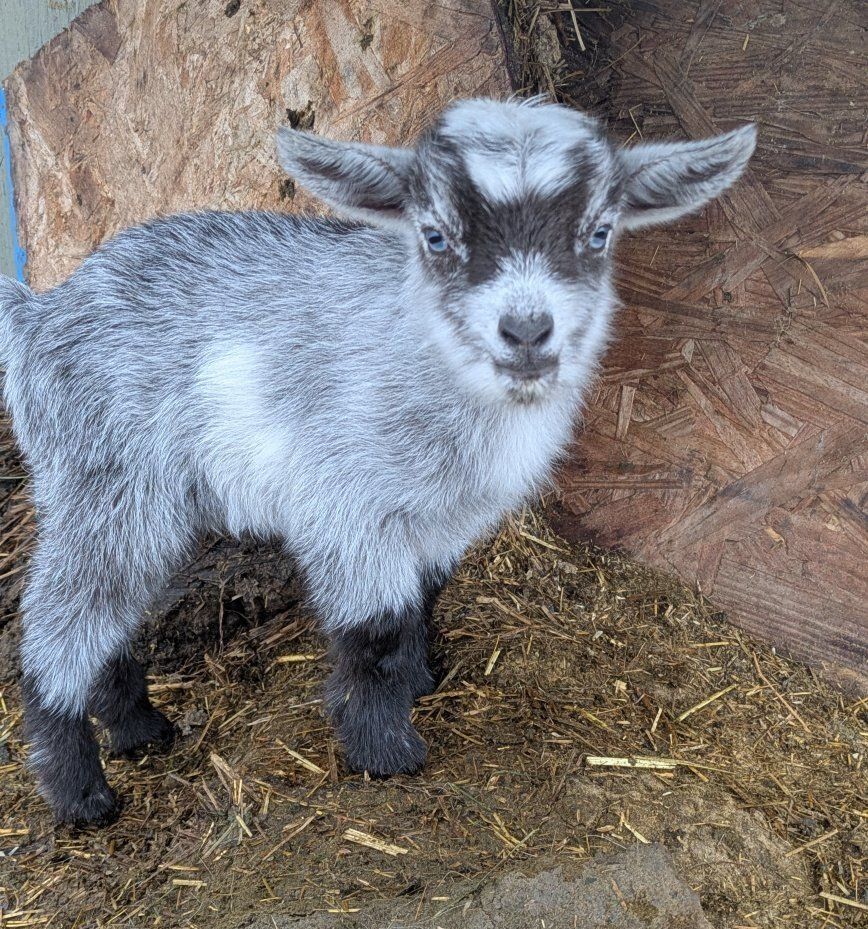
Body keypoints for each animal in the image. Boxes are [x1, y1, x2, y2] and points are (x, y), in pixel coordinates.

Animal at [0, 98, 755, 825]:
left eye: (598, 233)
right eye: (435, 235)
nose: (526, 330)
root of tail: (40, 313)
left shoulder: (444, 517)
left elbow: (425, 594)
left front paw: (421, 680)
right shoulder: (347, 506)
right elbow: (379, 628)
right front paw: (385, 751)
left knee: (108, 613)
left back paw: (138, 730)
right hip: (106, 478)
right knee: (58, 621)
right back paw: (81, 793)